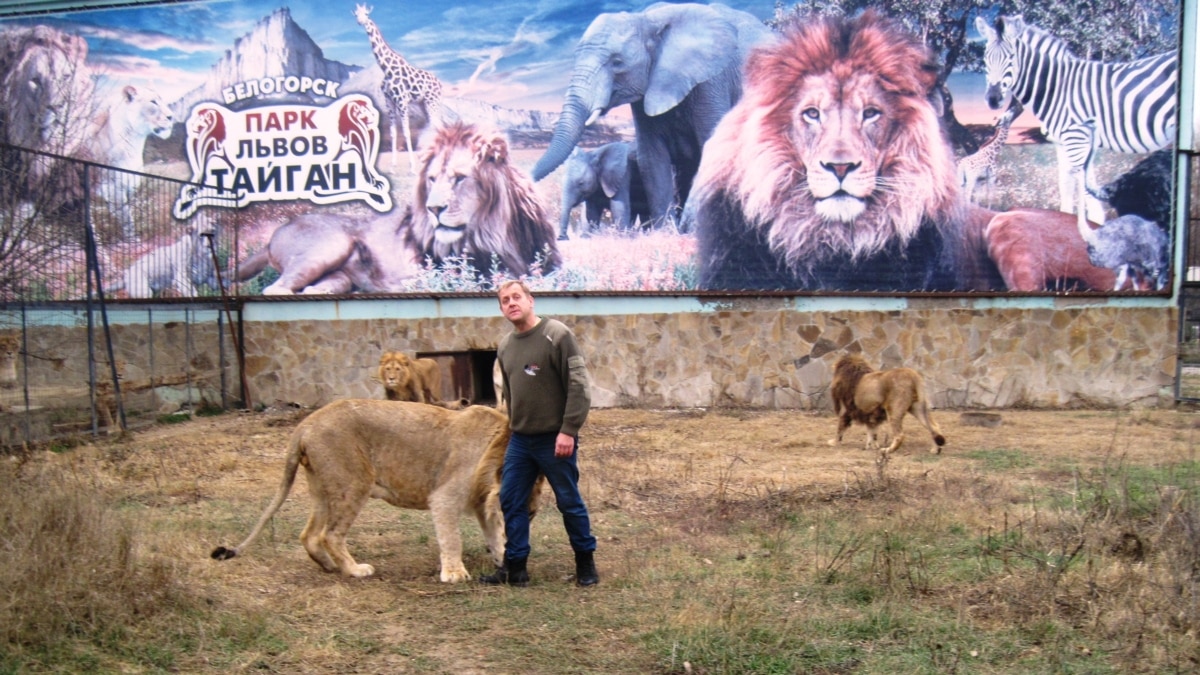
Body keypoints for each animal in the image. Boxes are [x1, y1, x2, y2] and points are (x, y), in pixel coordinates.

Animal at [210, 396, 540, 581]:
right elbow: (452, 538)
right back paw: (355, 570)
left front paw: (502, 558)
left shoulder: (482, 502)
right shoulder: (444, 497)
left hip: (323, 488)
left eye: (533, 515)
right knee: (331, 534)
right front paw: (455, 573)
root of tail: (305, 424)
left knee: (309, 534)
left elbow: (493, 533)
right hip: (353, 483)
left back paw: (330, 567)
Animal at [352, 3, 444, 171]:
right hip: (423, 104)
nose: (360, 21)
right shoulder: (389, 102)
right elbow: (393, 132)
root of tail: (440, 83)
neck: (386, 69)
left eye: (366, 14)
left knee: (438, 126)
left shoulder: (402, 101)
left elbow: (406, 132)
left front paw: (412, 167)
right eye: (356, 14)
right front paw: (393, 166)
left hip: (431, 102)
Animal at [974, 15, 1180, 234]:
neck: (1058, 87)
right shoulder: (1063, 142)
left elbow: (1091, 202)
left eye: (1012, 57)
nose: (993, 99)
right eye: (986, 59)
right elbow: (1065, 188)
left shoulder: (1077, 139)